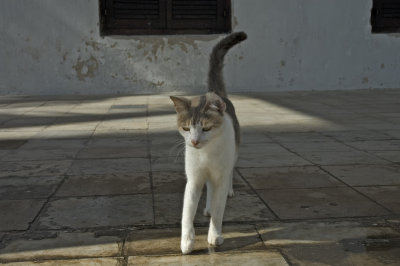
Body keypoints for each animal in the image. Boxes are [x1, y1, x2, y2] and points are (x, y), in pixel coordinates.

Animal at [170, 31, 247, 254]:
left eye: (206, 128)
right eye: (186, 128)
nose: (194, 141)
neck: (207, 153)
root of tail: (214, 93)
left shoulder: (220, 173)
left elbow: (220, 210)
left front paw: (214, 235)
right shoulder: (194, 178)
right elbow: (187, 213)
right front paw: (187, 241)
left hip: (233, 155)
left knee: (227, 177)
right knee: (210, 189)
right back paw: (207, 207)